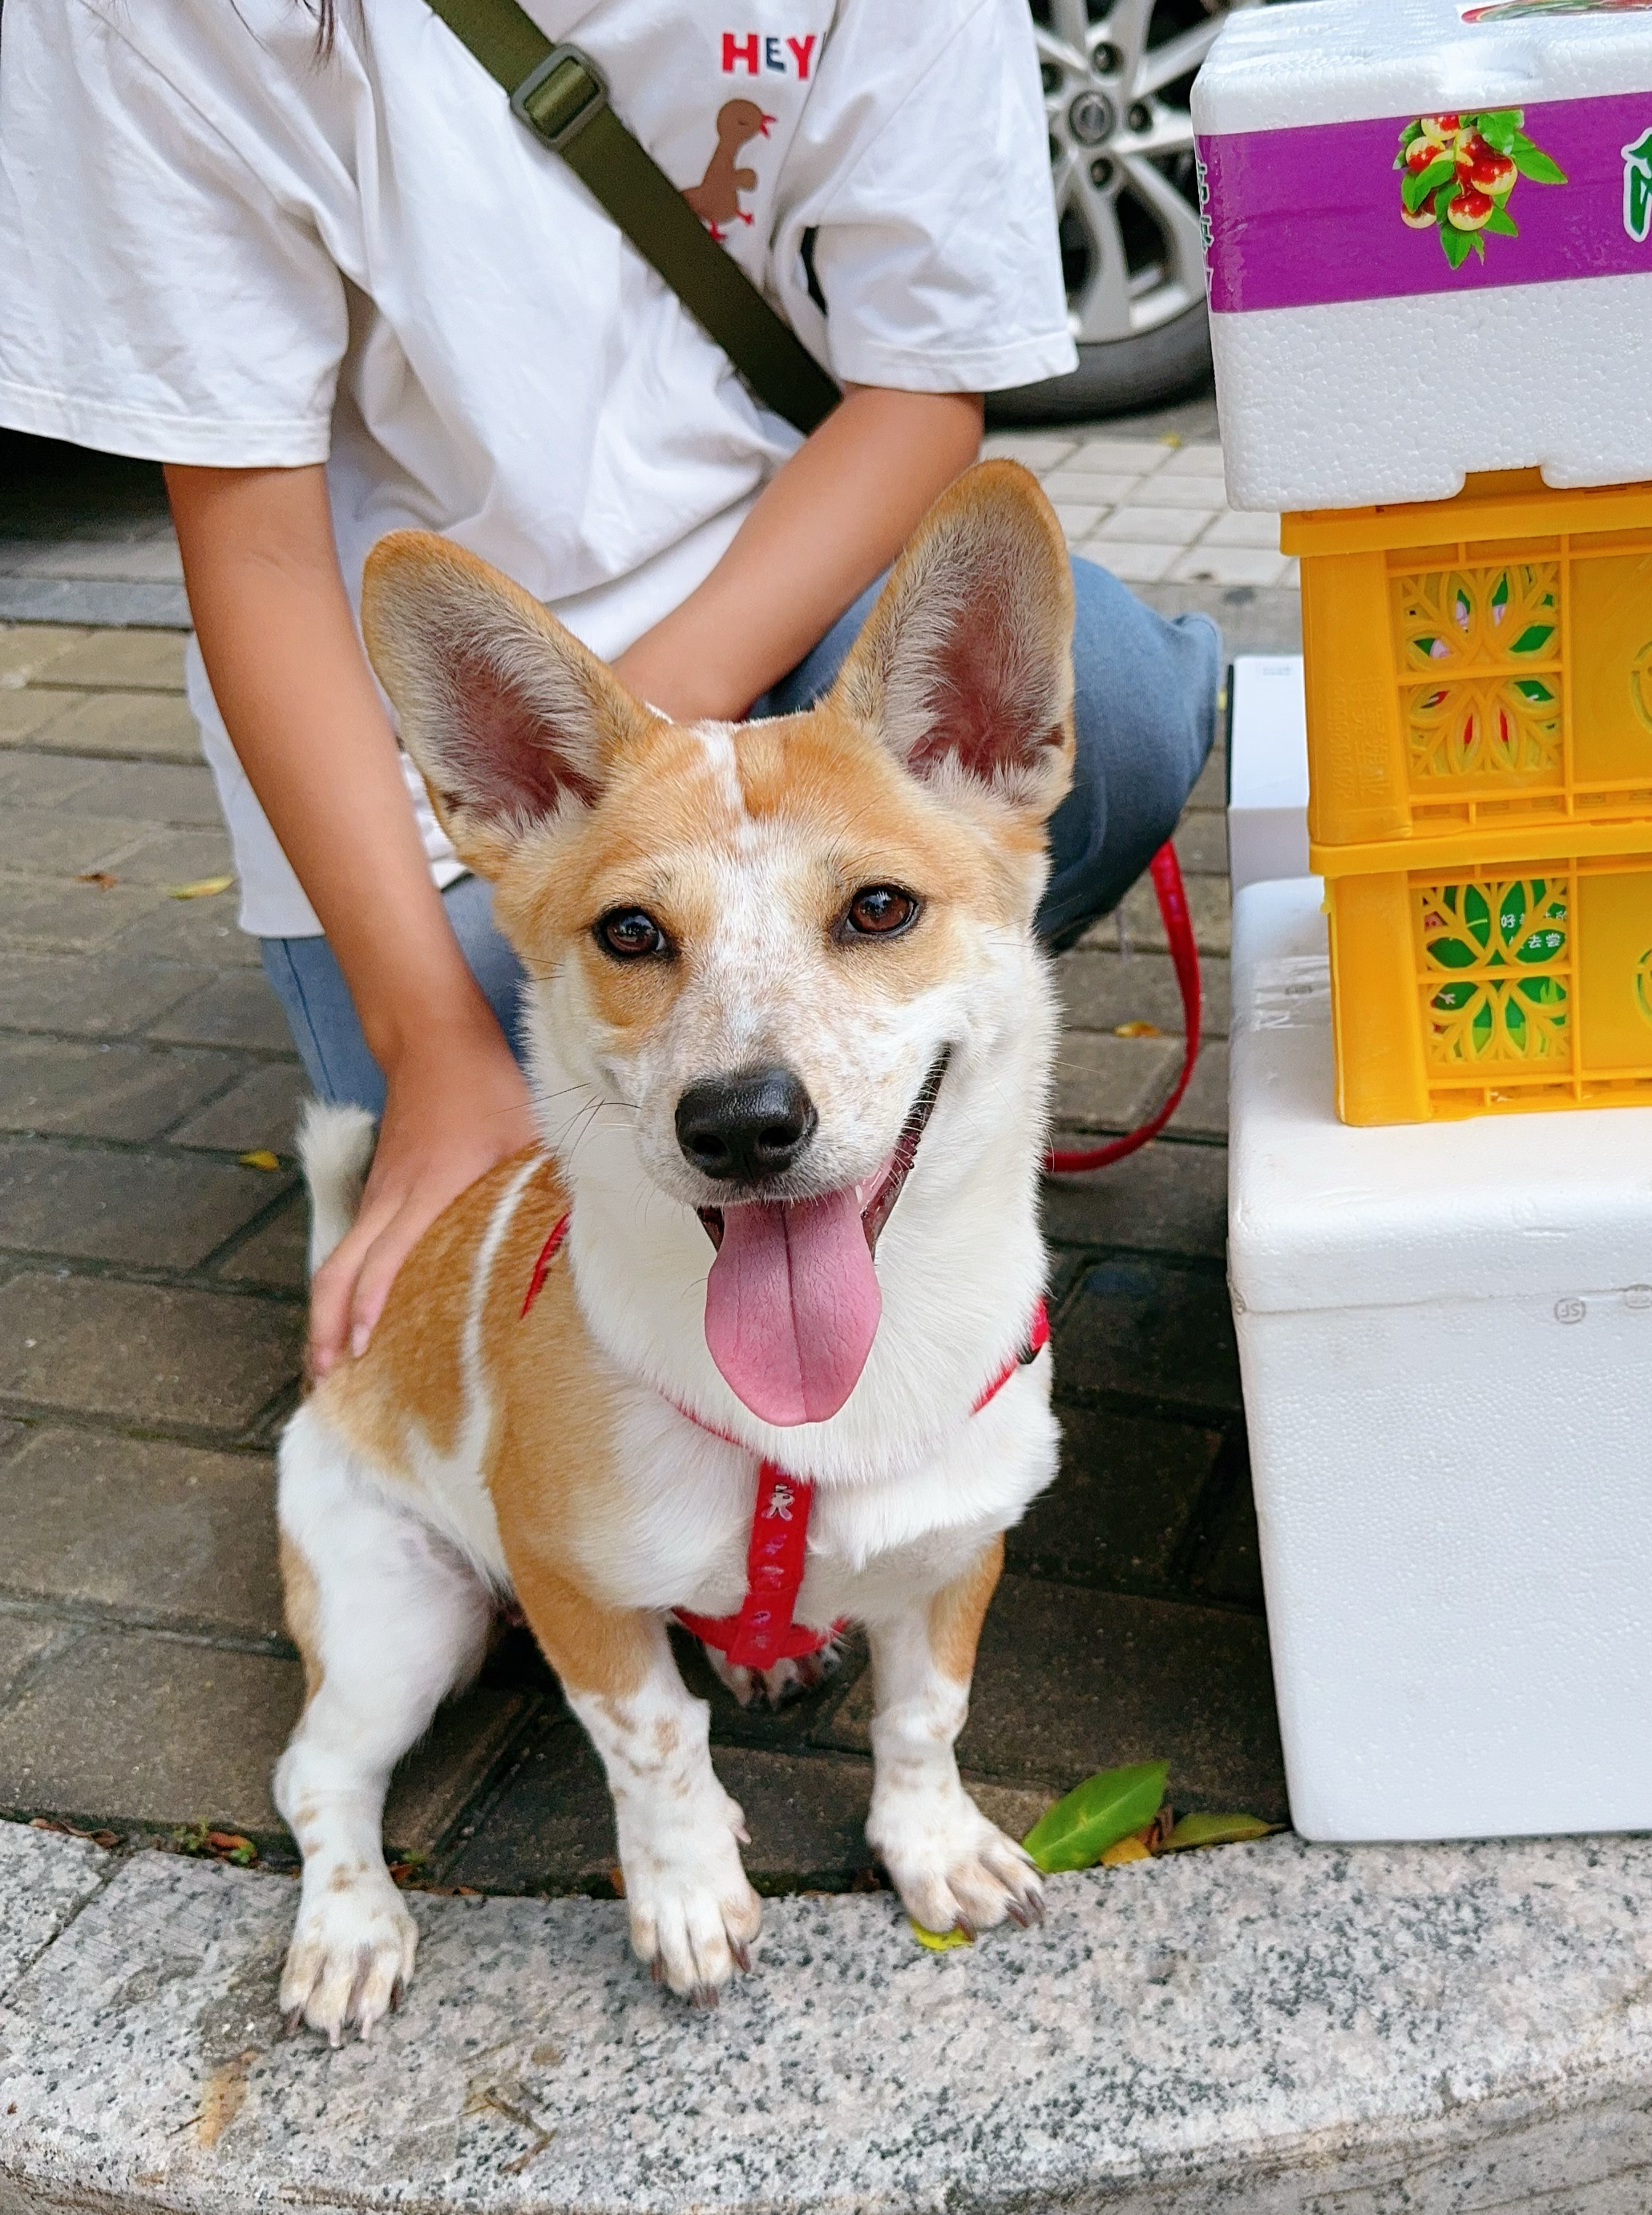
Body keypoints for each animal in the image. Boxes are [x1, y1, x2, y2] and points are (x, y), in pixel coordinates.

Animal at [273, 463, 1067, 2037]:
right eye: (631, 932)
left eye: (878, 906)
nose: (743, 1123)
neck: (824, 1415)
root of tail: (340, 1365)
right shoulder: (573, 1587)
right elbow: (652, 1741)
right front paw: (690, 1892)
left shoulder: (960, 1543)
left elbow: (925, 1712)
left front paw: (932, 1842)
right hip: (403, 1616)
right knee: (318, 1772)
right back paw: (347, 1924)